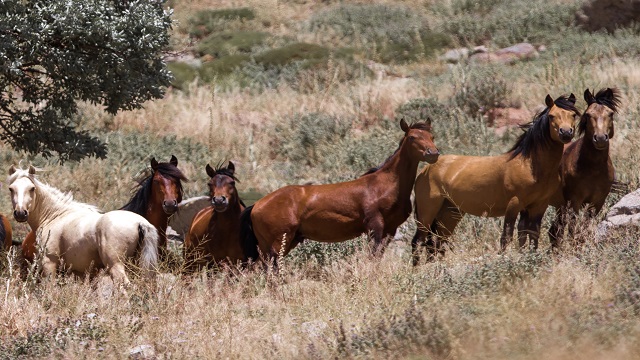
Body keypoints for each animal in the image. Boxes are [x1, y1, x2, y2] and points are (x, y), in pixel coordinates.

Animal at [7, 165, 159, 284]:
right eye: (11, 189)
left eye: (32, 188)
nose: (20, 213)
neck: (55, 216)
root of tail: (140, 222)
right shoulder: (79, 272)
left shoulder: (49, 262)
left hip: (115, 265)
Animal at [240, 118, 440, 262]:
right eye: (413, 137)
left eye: (432, 137)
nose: (433, 153)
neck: (385, 185)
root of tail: (257, 205)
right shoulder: (374, 226)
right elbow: (373, 257)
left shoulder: (390, 230)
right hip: (278, 243)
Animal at [412, 94, 584, 266]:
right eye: (551, 116)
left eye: (573, 115)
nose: (566, 133)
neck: (530, 166)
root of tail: (425, 170)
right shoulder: (514, 204)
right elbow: (506, 236)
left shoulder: (539, 205)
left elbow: (532, 234)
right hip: (427, 212)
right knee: (418, 240)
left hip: (450, 212)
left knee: (436, 241)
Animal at [544, 88, 620, 248]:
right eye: (588, 114)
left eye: (610, 113)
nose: (600, 138)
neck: (593, 169)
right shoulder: (574, 201)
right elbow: (574, 229)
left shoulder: (597, 202)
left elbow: (585, 228)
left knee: (555, 230)